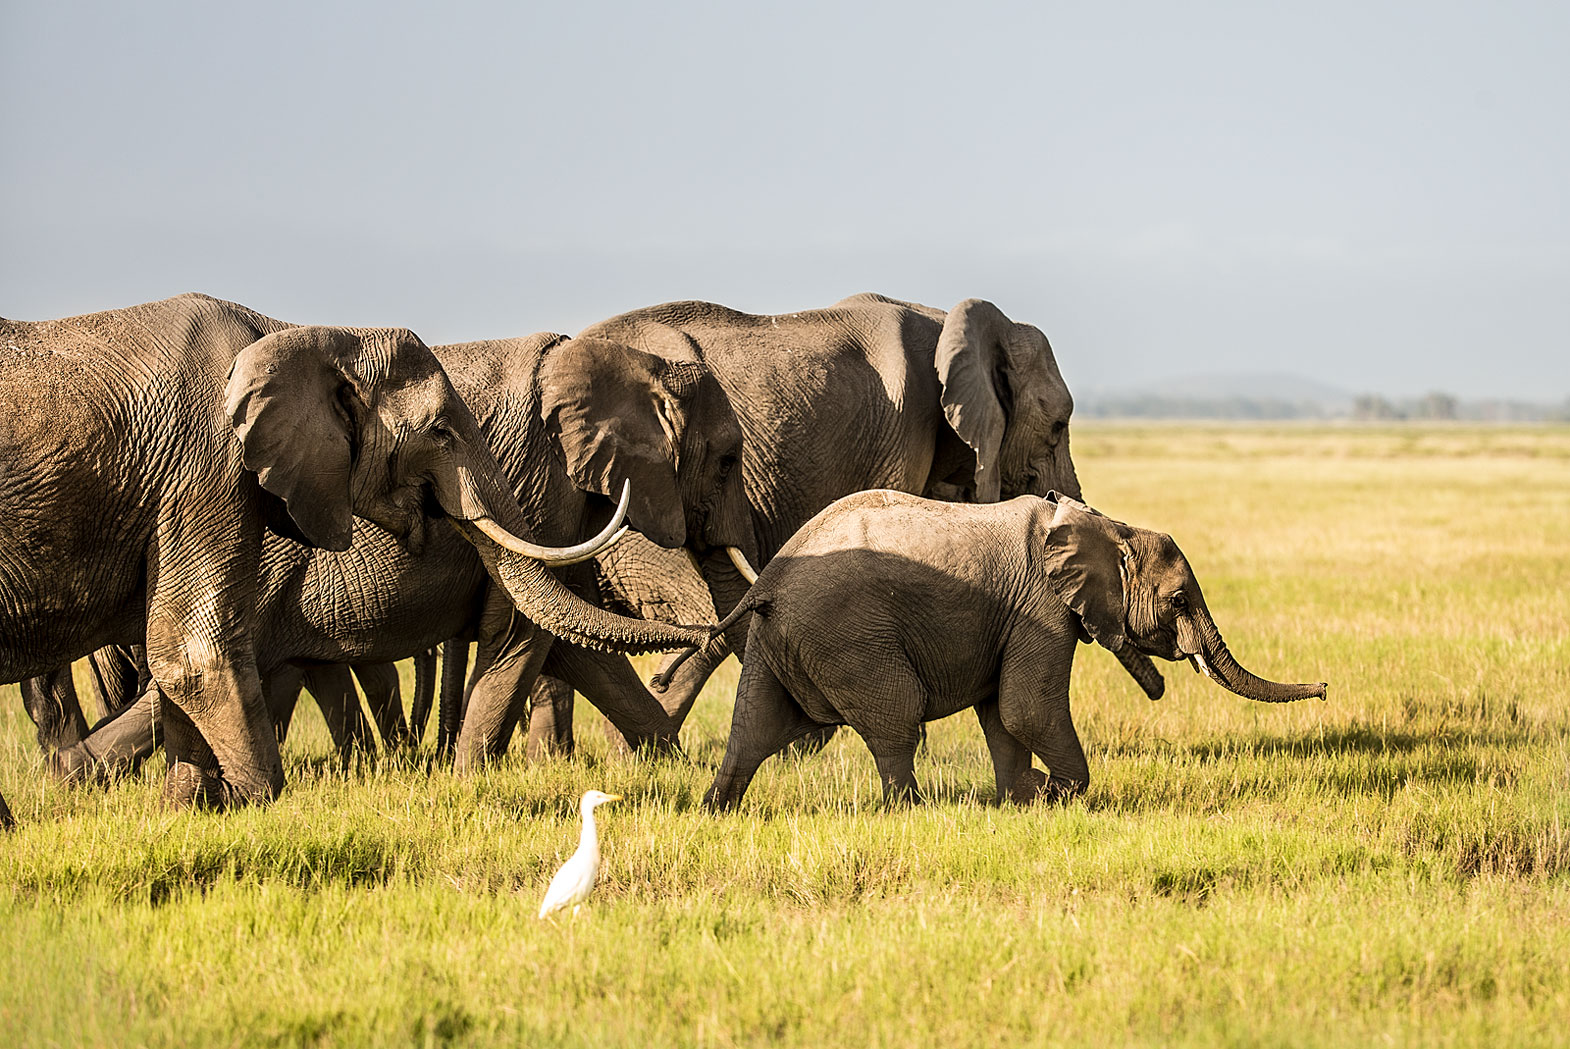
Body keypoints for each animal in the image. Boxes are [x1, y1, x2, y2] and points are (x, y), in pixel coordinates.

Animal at [0, 293, 706, 816]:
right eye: (440, 432)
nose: (700, 633)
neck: (304, 336)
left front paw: (191, 813)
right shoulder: (205, 462)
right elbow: (195, 652)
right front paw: (255, 805)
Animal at [700, 486, 1325, 810]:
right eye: (1177, 601)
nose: (1323, 687)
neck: (1106, 525)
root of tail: (768, 581)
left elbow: (1002, 714)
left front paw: (1019, 799)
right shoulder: (1041, 609)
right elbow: (1026, 708)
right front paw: (1052, 794)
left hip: (777, 640)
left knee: (752, 727)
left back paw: (716, 811)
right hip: (849, 637)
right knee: (897, 721)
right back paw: (913, 811)